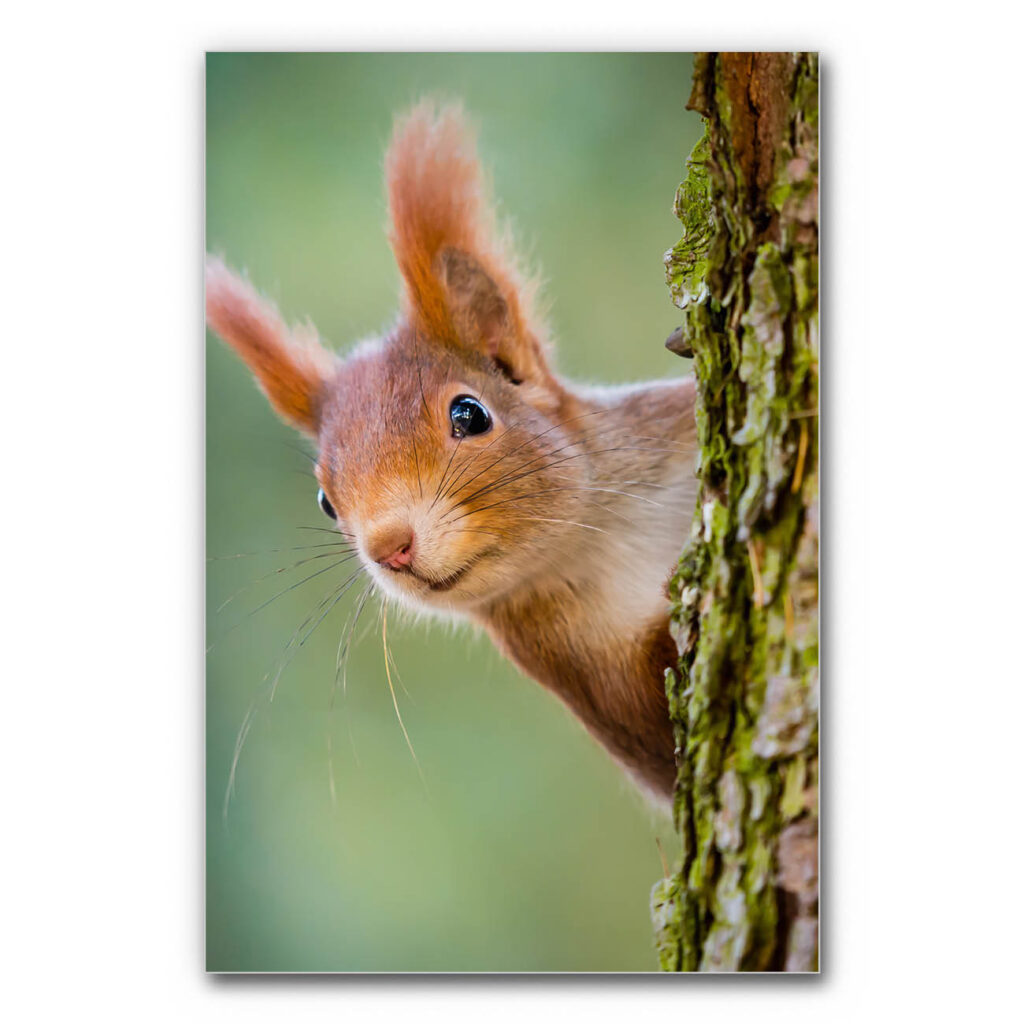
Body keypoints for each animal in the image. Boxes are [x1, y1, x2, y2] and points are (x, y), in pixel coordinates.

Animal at [206, 103, 699, 806]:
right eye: (326, 501)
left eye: (470, 414)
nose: (390, 547)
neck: (602, 538)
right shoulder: (591, 679)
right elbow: (662, 738)